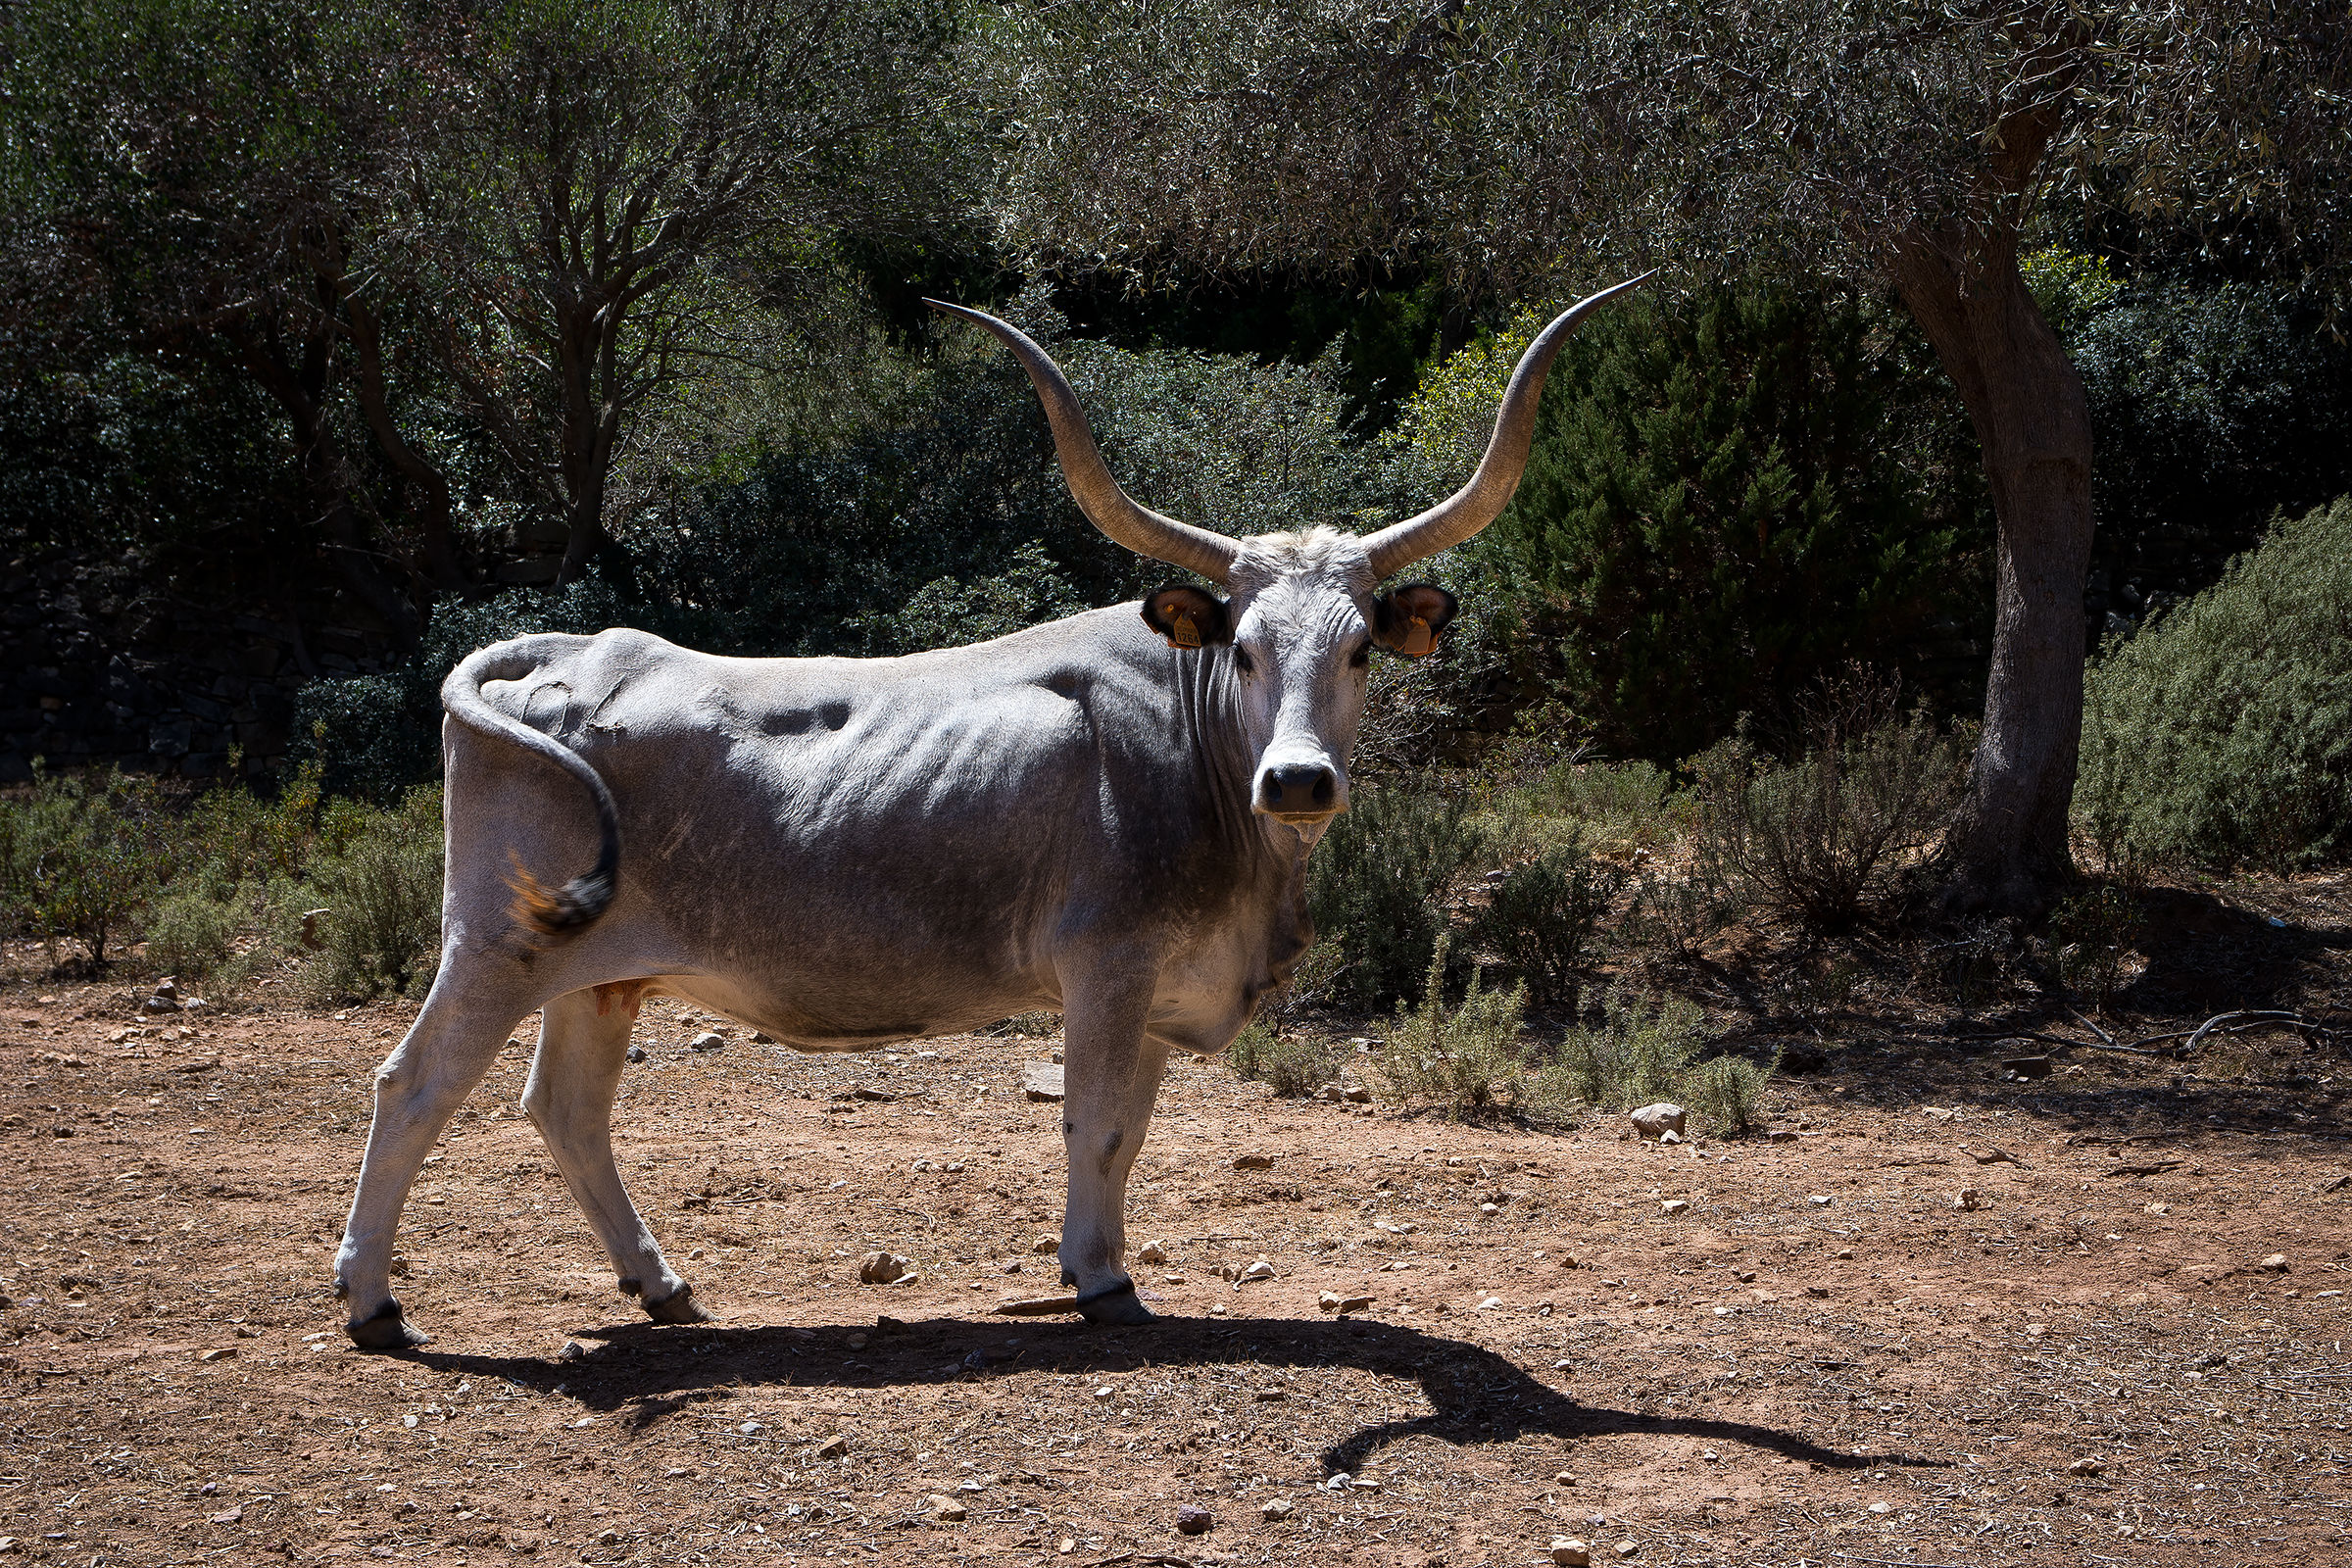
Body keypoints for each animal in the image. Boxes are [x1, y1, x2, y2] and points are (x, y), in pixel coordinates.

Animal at [333, 278, 1646, 1349]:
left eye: (1364, 647)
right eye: (1248, 647)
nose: (1300, 781)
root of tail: (566, 650)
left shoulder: (1155, 992)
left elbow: (1131, 1132)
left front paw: (1100, 1263)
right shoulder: (1106, 966)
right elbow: (1095, 1128)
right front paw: (1102, 1283)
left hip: (600, 973)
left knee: (566, 1110)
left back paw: (662, 1285)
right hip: (495, 946)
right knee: (412, 1085)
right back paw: (373, 1301)